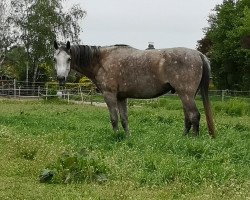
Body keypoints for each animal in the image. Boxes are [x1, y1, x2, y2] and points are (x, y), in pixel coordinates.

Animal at [53, 41, 215, 138]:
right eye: (55, 59)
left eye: (69, 59)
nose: (60, 78)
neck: (101, 61)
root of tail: (198, 54)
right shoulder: (121, 97)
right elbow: (124, 119)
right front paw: (127, 137)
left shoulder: (109, 95)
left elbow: (114, 118)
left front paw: (116, 136)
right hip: (186, 95)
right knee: (188, 117)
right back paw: (183, 137)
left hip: (186, 94)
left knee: (194, 115)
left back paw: (193, 139)